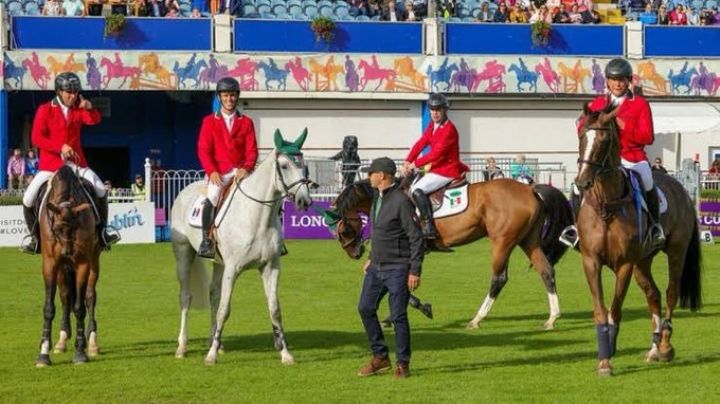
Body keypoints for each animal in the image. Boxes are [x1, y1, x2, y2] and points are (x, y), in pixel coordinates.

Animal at [35, 165, 102, 366]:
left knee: (89, 297)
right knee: (65, 297)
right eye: (57, 228)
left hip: (93, 262)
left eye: (76, 227)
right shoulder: (50, 264)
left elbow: (80, 307)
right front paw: (43, 353)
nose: (67, 254)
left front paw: (80, 351)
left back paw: (92, 343)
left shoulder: (82, 263)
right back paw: (61, 340)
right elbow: (49, 308)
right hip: (62, 269)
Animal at [171, 129, 314, 365]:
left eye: (305, 166)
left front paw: (285, 353)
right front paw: (210, 357)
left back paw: (216, 342)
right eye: (284, 166)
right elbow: (224, 310)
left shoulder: (271, 267)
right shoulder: (233, 269)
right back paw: (182, 347)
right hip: (183, 253)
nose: (305, 201)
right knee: (186, 297)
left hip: (218, 263)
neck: (257, 217)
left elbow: (275, 309)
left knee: (213, 294)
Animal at [322, 176, 574, 330]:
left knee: (499, 278)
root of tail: (530, 188)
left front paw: (418, 309)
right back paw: (552, 318)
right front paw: (395, 315)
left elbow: (402, 283)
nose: (354, 253)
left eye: (343, 230)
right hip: (528, 241)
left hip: (502, 242)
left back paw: (476, 319)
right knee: (546, 271)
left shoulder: (413, 249)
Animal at [574, 105, 702, 376]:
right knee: (653, 294)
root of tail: (682, 188)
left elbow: (615, 309)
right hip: (642, 262)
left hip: (675, 252)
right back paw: (654, 348)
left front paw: (609, 352)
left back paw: (665, 345)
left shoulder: (624, 264)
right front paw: (604, 358)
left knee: (671, 292)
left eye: (604, 140)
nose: (581, 182)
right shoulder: (591, 262)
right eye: (582, 135)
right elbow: (600, 310)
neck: (606, 205)